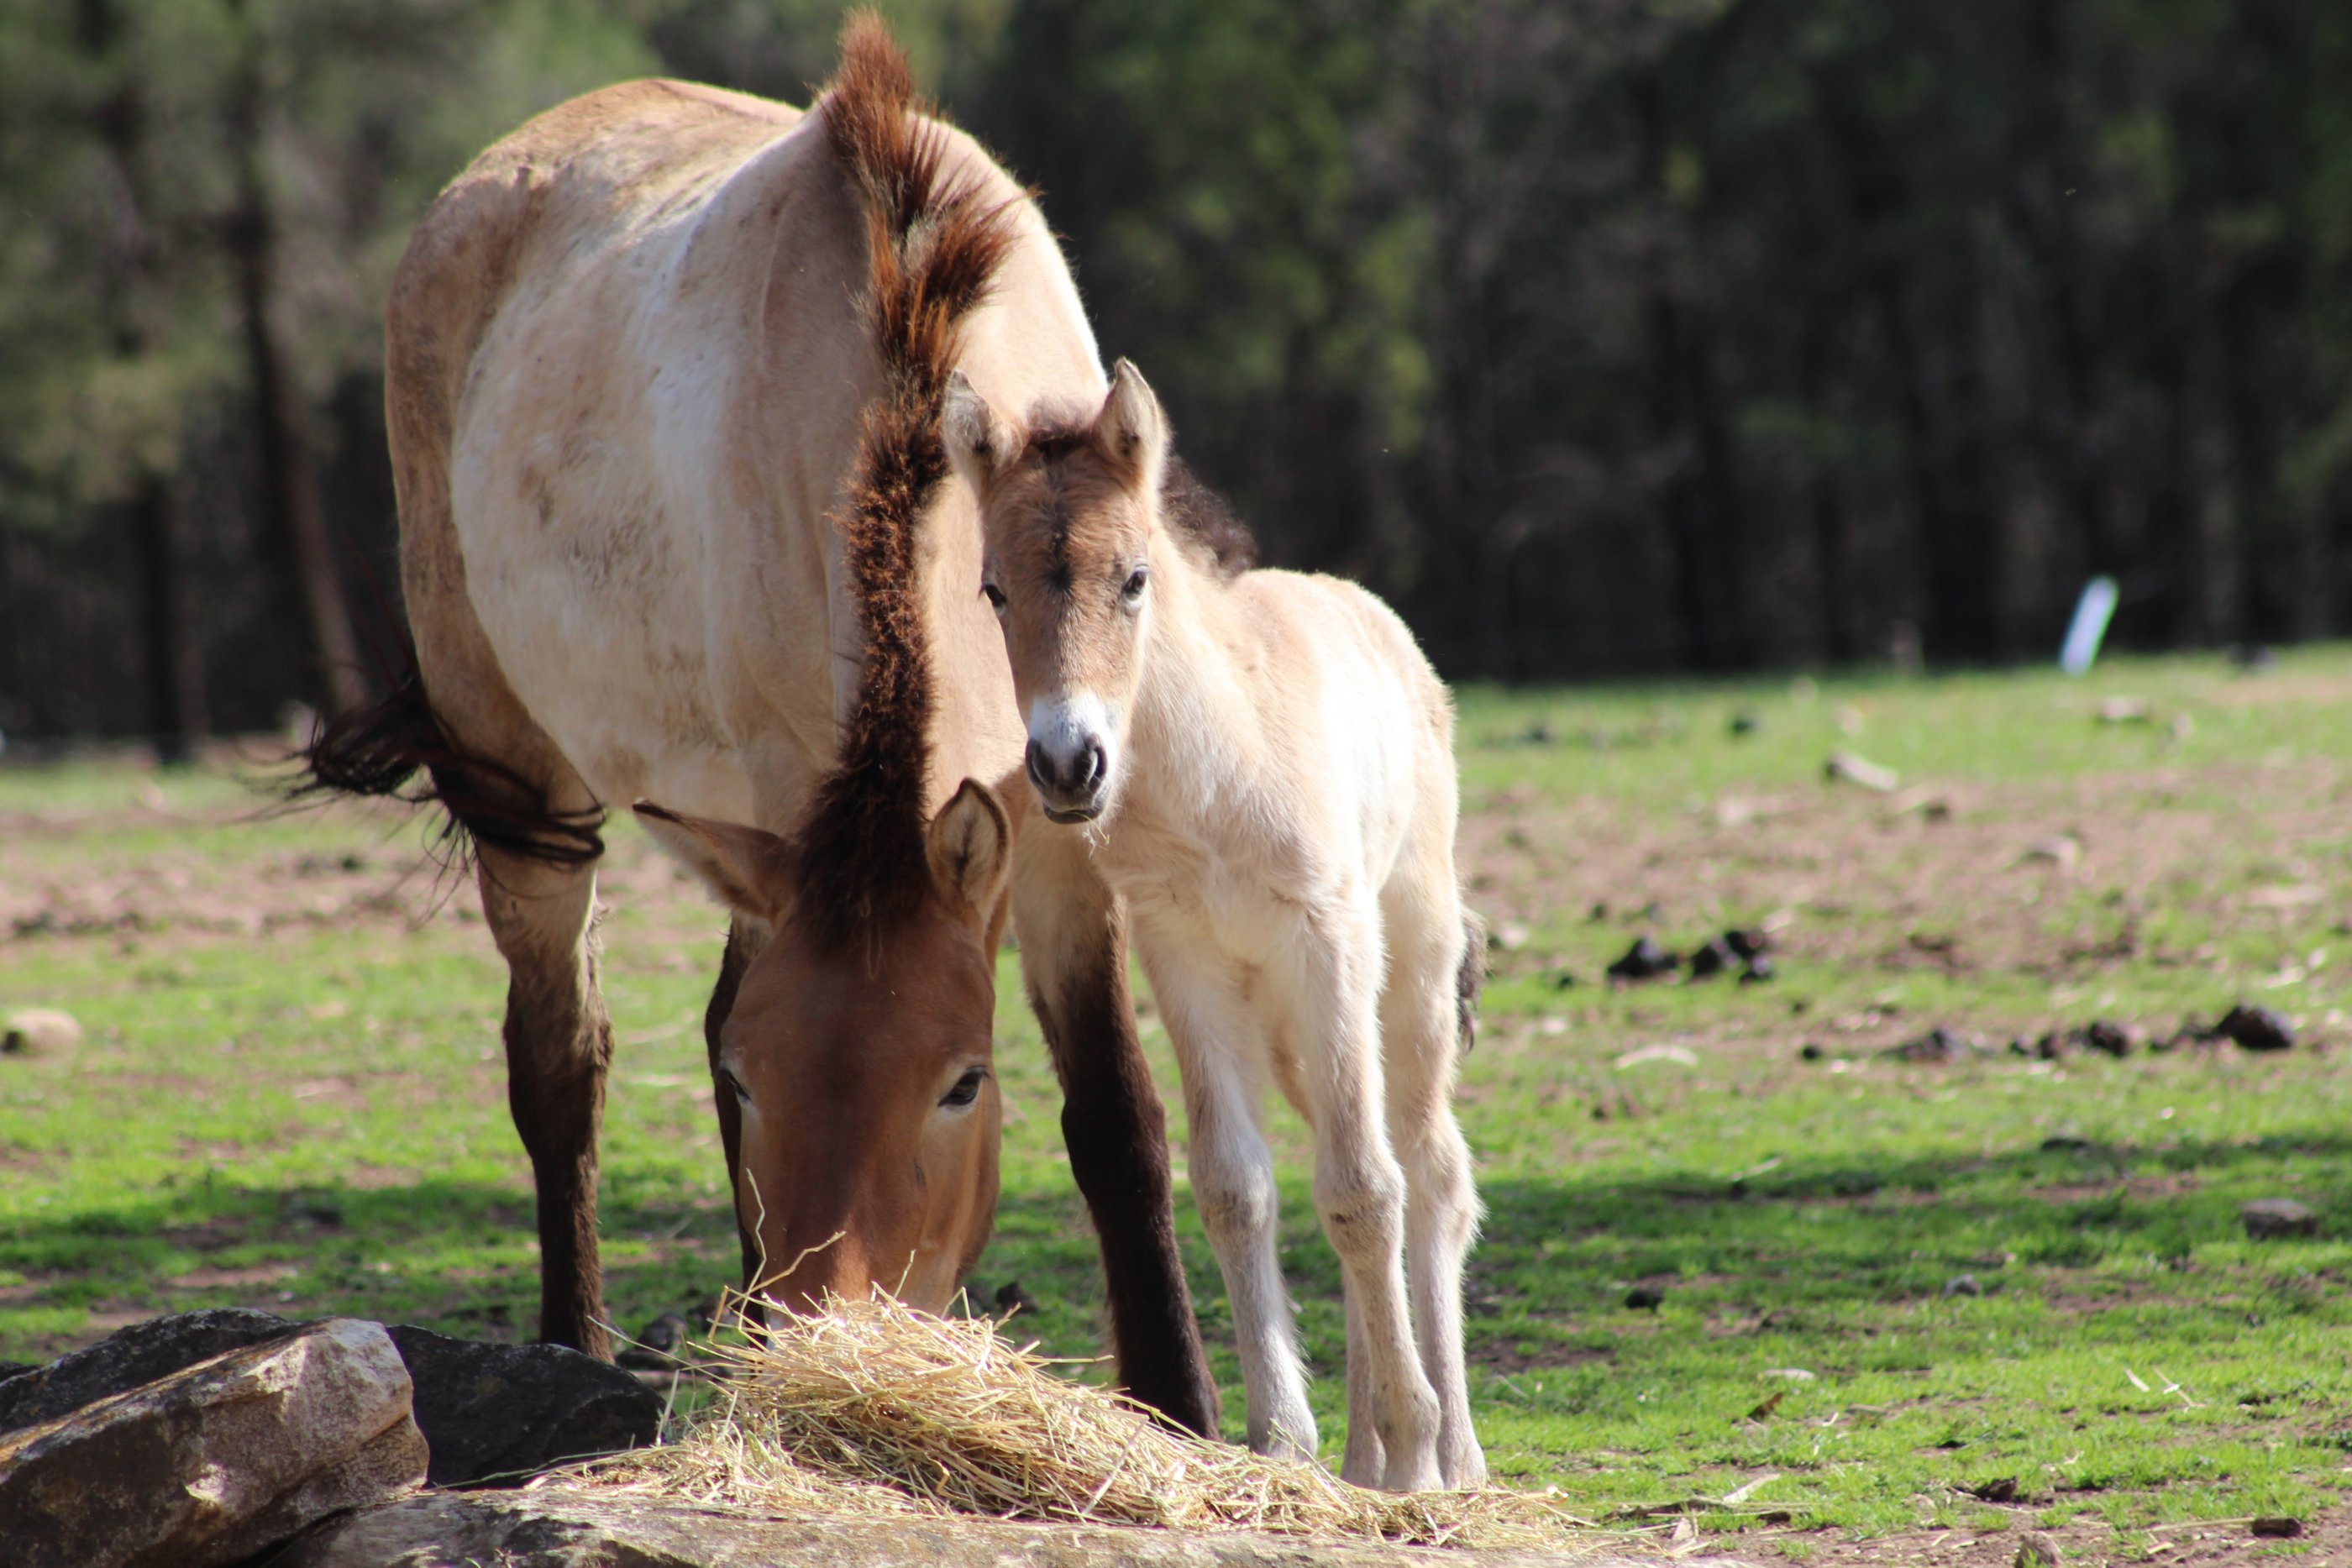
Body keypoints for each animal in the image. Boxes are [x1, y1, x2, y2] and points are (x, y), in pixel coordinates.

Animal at [296, 18, 1223, 1439]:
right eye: (754, 1082)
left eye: (963, 1078)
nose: (830, 1325)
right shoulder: (801, 799)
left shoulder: (1051, 835)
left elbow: (1116, 1113)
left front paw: (1184, 1409)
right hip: (527, 784)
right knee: (558, 1068)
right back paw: (576, 1344)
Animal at [941, 362, 1477, 1495]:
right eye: (993, 589)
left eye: (1134, 579)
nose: (1068, 765)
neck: (1218, 771)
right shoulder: (1184, 957)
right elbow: (1239, 1187)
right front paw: (1284, 1443)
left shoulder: (1327, 942)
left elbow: (1365, 1191)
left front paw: (1413, 1451)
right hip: (1287, 1021)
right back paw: (1361, 1457)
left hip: (1403, 970)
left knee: (1427, 1169)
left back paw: (1452, 1452)